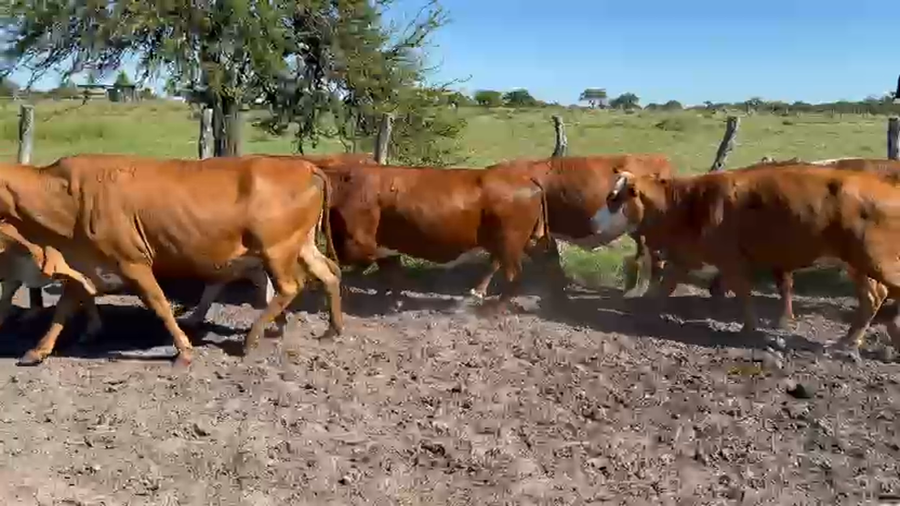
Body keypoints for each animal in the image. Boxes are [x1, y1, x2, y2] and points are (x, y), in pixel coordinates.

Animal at [0, 154, 342, 367]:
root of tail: (305, 166)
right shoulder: (86, 261)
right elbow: (64, 308)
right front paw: (38, 350)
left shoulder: (132, 261)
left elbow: (159, 303)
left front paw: (184, 350)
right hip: (302, 245)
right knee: (329, 274)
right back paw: (332, 329)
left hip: (277, 249)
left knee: (289, 287)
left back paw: (252, 337)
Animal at [588, 163, 900, 356]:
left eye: (613, 198)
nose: (592, 222)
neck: (689, 204)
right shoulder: (687, 255)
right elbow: (667, 284)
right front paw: (645, 313)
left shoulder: (730, 259)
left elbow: (742, 292)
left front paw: (748, 327)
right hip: (859, 265)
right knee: (876, 296)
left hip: (872, 262)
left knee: (878, 295)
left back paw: (850, 342)